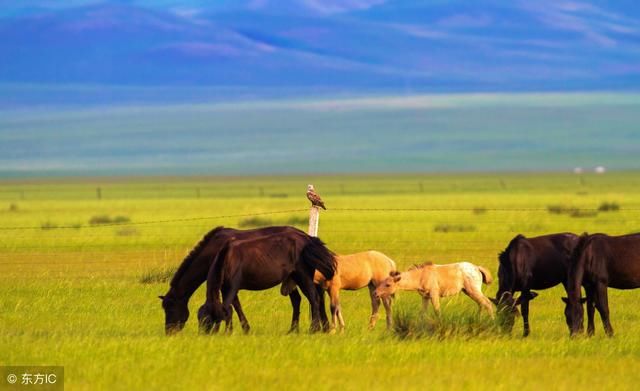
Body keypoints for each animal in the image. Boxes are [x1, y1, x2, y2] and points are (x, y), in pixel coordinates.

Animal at [202, 233, 338, 334]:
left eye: (206, 320)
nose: (203, 335)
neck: (227, 258)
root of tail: (308, 240)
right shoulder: (226, 288)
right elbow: (233, 307)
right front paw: (239, 330)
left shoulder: (232, 287)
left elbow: (226, 307)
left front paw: (224, 331)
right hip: (294, 278)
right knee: (300, 300)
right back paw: (294, 330)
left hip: (303, 277)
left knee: (314, 298)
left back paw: (313, 329)